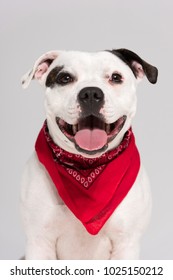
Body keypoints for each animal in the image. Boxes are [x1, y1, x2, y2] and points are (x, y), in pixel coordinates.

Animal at [20, 47, 158, 258]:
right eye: (65, 78)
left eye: (116, 77)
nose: (91, 93)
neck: (87, 165)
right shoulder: (39, 243)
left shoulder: (126, 243)